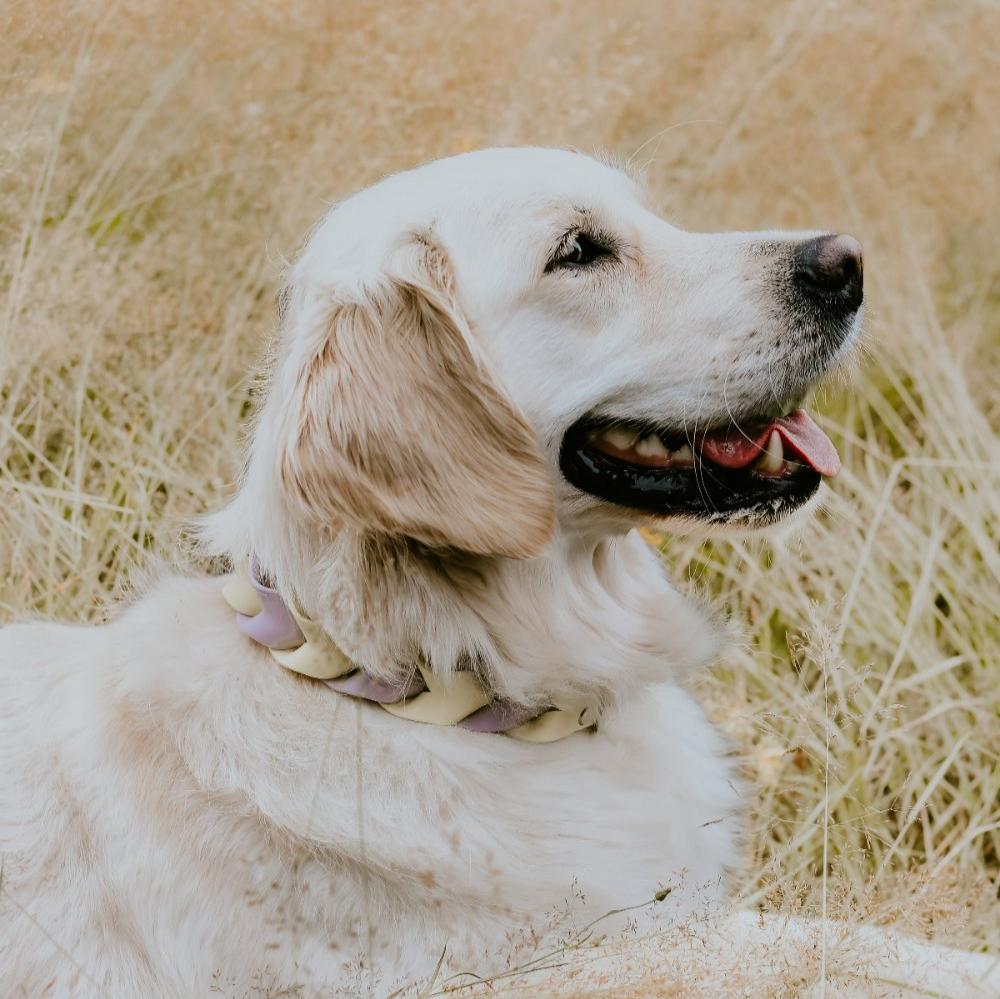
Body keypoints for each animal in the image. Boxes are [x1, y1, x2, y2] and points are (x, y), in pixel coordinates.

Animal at [3, 145, 996, 996]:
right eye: (579, 252)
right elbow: (799, 953)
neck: (435, 682)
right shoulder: (540, 963)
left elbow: (859, 940)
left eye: (648, 214)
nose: (847, 263)